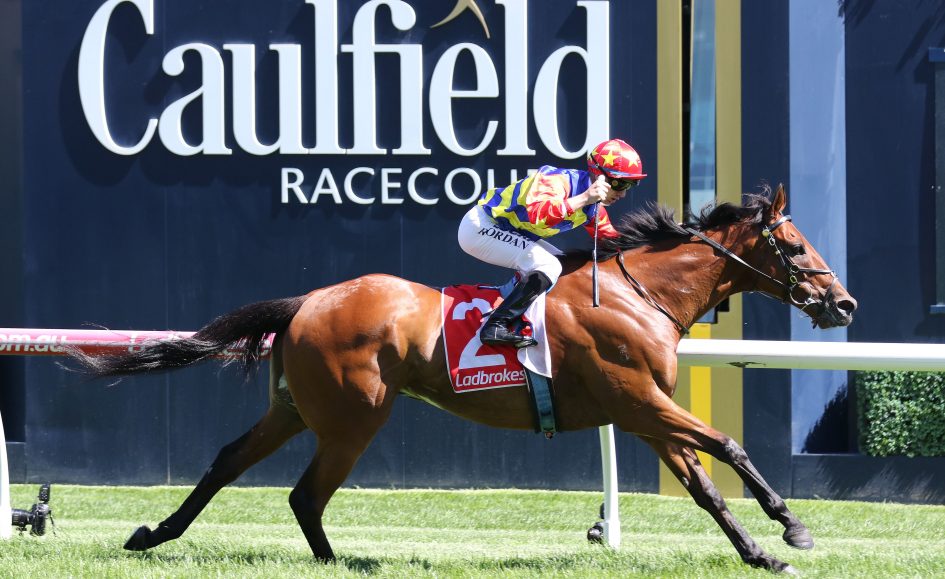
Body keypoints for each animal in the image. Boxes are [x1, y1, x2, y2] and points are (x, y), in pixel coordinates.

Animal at [69, 184, 855, 574]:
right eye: (793, 245)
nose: (843, 303)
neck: (638, 296)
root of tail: (307, 300)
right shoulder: (637, 398)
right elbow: (727, 446)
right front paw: (793, 528)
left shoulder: (642, 411)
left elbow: (704, 486)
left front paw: (760, 552)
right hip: (355, 414)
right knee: (305, 492)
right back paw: (338, 563)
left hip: (298, 408)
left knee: (232, 462)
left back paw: (154, 534)